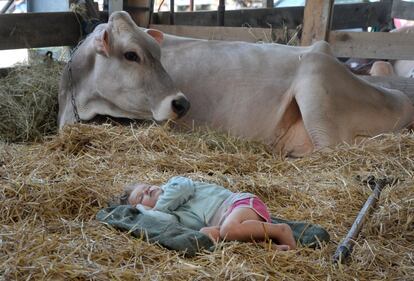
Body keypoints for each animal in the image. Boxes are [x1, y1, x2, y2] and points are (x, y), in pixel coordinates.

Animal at [58, 10, 414, 156]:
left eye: (157, 53)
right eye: (131, 54)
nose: (182, 103)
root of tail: (400, 99)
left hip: (317, 86)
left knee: (329, 151)